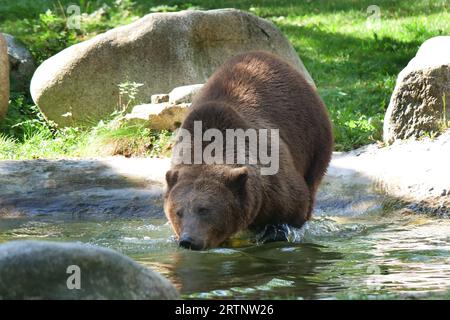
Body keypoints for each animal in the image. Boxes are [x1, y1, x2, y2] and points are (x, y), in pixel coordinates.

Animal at [163, 50, 332, 250]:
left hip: (314, 136)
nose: (188, 240)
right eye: (178, 211)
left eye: (204, 209)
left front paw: (273, 233)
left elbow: (294, 207)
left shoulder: (275, 184)